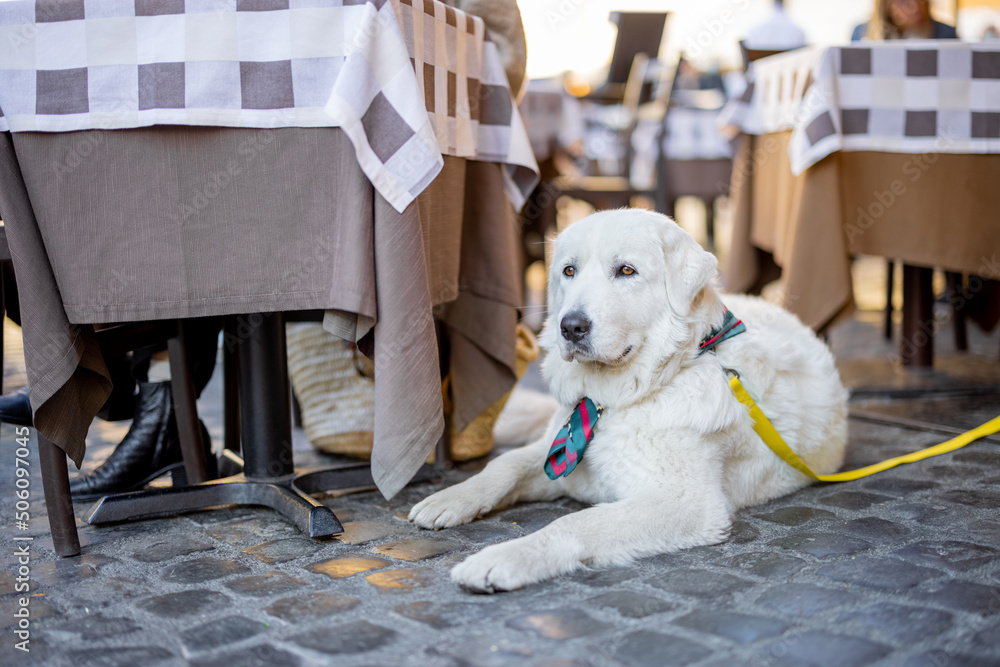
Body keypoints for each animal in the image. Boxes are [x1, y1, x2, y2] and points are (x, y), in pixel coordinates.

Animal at [410, 211, 848, 592]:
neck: (615, 400)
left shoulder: (687, 502)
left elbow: (576, 523)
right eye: (569, 271)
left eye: (626, 271)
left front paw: (500, 559)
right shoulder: (559, 450)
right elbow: (505, 465)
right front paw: (450, 499)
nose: (571, 326)